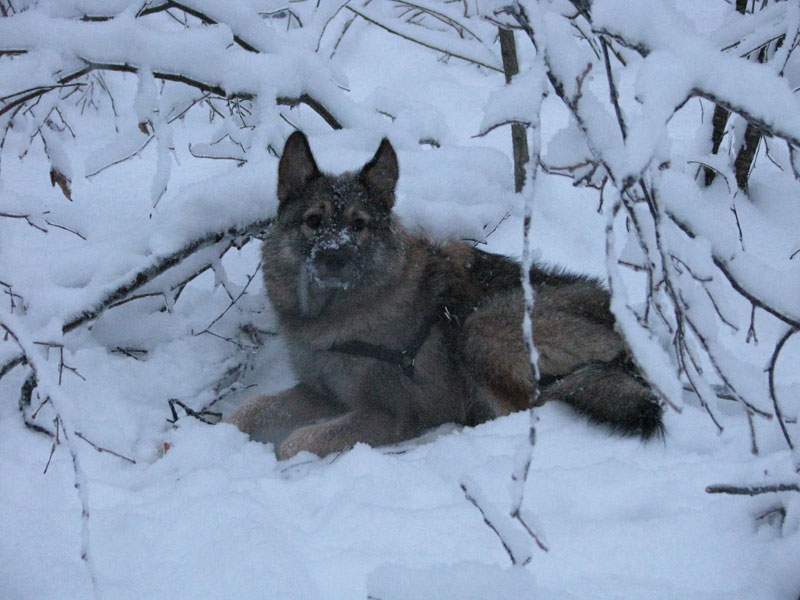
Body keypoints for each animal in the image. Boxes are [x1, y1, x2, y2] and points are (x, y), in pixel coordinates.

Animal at [227, 132, 664, 460]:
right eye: (314, 221)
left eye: (359, 225)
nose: (334, 258)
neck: (337, 317)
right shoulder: (321, 393)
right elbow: (248, 410)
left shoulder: (387, 414)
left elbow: (293, 442)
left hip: (482, 327)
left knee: (523, 412)